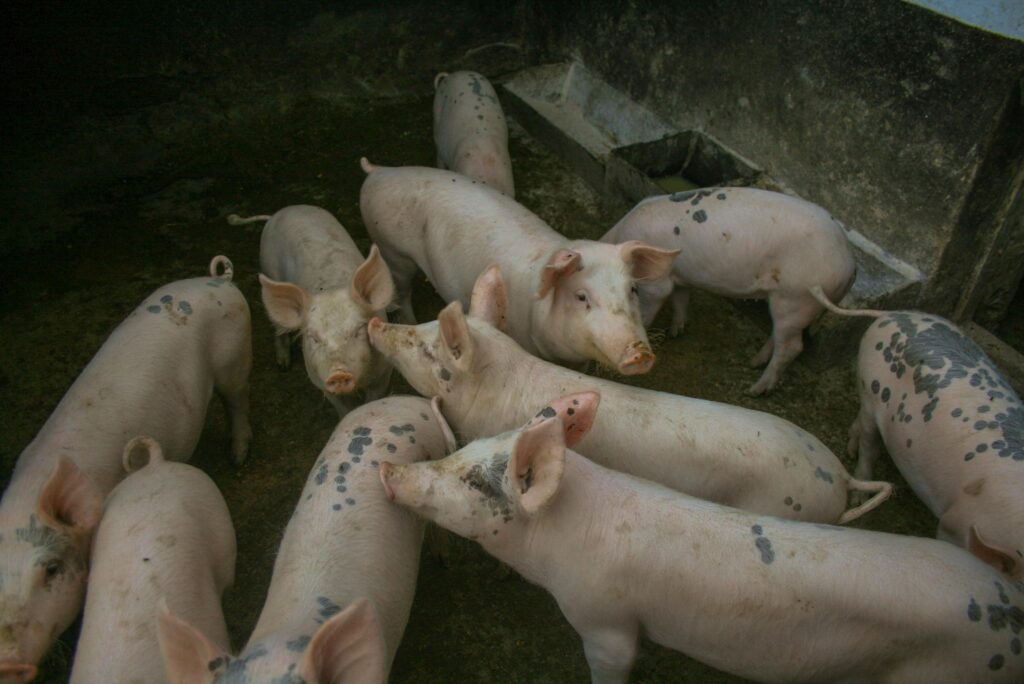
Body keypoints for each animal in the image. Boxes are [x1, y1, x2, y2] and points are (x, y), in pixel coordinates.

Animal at [228, 205, 395, 416]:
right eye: (313, 337)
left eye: (359, 330)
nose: (338, 373)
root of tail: (280, 212)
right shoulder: (319, 380)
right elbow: (343, 408)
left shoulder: (383, 374)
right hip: (268, 266)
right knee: (278, 328)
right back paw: (283, 365)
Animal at [359, 159, 678, 376]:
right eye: (581, 296)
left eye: (633, 289)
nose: (639, 354)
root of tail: (378, 171)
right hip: (392, 250)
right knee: (402, 290)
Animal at [380, 392, 1024, 684]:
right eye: (463, 449)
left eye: (472, 479)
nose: (388, 471)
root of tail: (1007, 609)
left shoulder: (606, 618)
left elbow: (613, 662)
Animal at [601, 188, 856, 395]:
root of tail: (849, 264)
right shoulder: (681, 278)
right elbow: (681, 300)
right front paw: (675, 332)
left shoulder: (656, 284)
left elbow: (653, 304)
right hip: (788, 302)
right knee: (779, 335)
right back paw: (753, 362)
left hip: (796, 297)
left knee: (792, 347)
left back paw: (755, 390)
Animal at [813, 286, 1024, 581]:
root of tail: (891, 314)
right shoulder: (955, 520)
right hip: (872, 392)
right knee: (869, 444)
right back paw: (858, 489)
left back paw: (850, 450)